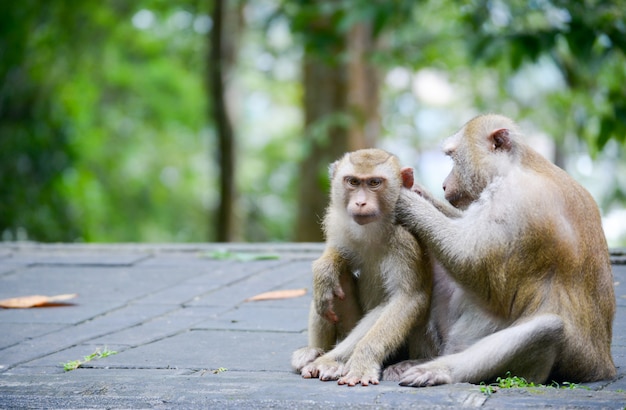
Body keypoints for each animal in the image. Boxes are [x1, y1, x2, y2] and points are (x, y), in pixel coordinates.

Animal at [290, 149, 436, 386]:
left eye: (374, 183)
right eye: (353, 182)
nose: (360, 203)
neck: (375, 230)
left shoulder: (404, 238)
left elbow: (408, 298)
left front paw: (361, 362)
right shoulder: (337, 221)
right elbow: (336, 254)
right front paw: (325, 268)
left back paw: (331, 361)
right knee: (337, 282)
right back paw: (314, 351)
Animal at [380, 113, 616, 386]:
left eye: (452, 157)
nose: (444, 185)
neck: (517, 167)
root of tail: (602, 364)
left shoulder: (515, 202)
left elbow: (470, 261)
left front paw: (406, 200)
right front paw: (420, 192)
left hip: (569, 360)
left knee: (548, 329)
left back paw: (439, 370)